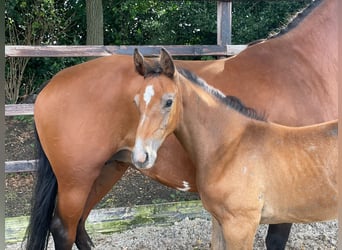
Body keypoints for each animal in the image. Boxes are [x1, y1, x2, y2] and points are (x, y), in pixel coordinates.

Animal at [26, 0, 336, 249]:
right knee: (64, 229)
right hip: (76, 180)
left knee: (79, 224)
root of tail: (51, 86)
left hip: (106, 169)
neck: (302, 68)